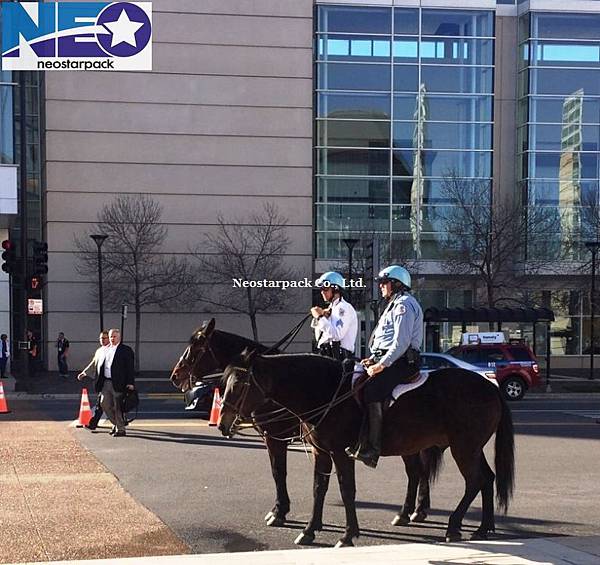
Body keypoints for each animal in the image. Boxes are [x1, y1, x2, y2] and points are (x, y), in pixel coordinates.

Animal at [171, 318, 438, 528]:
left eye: (197, 346)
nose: (175, 376)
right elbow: (283, 473)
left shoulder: (274, 437)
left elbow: (278, 472)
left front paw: (279, 512)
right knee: (417, 471)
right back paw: (414, 511)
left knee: (418, 471)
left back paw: (415, 511)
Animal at [220, 348, 516, 548]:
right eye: (224, 383)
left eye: (240, 385)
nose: (223, 423)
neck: (326, 391)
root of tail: (490, 386)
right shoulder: (320, 452)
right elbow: (318, 488)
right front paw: (310, 529)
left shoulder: (338, 453)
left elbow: (346, 490)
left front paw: (347, 535)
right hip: (471, 448)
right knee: (486, 478)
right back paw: (482, 527)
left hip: (463, 447)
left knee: (473, 481)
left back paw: (453, 526)